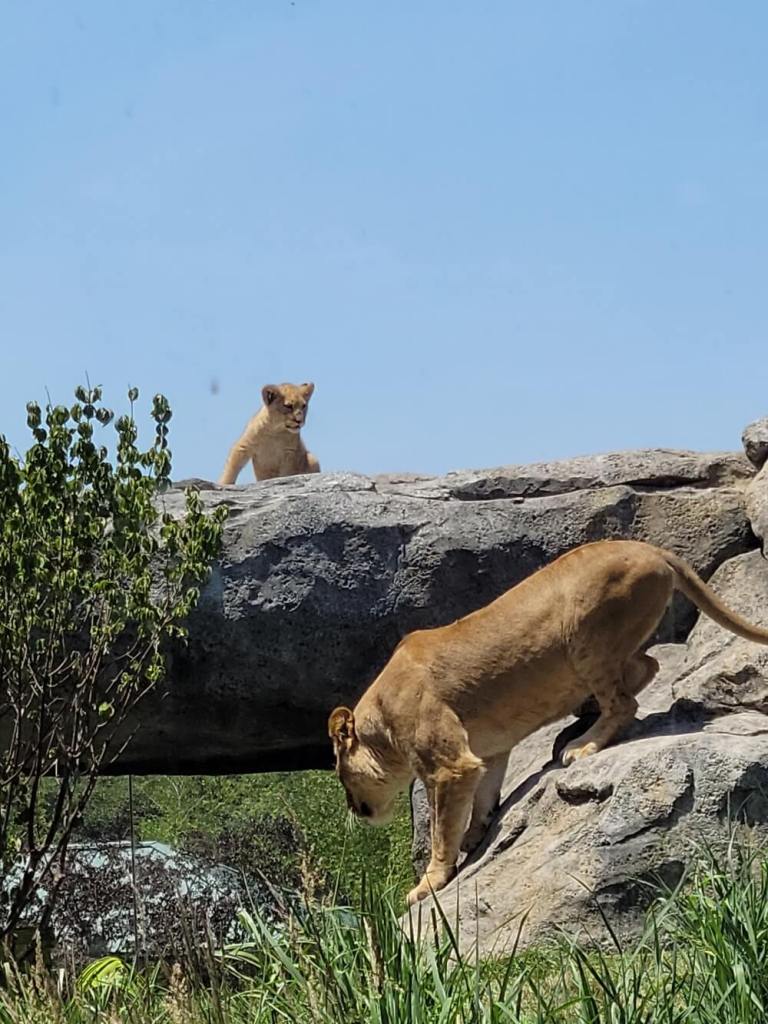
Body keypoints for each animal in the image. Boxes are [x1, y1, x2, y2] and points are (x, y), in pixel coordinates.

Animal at [328, 539, 768, 905]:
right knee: (648, 666)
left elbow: (440, 830)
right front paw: (476, 834)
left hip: (588, 637)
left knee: (625, 701)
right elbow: (483, 797)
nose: (352, 808)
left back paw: (581, 744)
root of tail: (650, 547)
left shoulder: (447, 767)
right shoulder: (486, 752)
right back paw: (578, 724)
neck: (380, 723)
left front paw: (428, 884)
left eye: (341, 775)